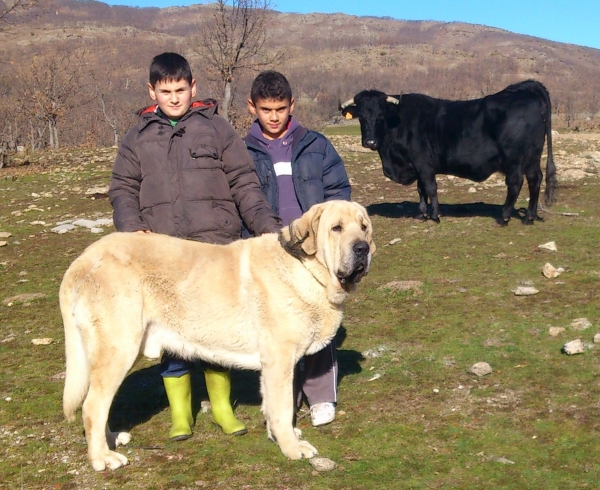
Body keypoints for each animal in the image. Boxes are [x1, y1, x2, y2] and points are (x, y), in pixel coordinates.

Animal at [62, 200, 376, 470]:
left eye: (363, 227)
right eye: (336, 228)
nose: (362, 248)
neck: (307, 268)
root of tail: (81, 260)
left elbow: (271, 406)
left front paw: (278, 436)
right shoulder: (279, 360)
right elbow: (283, 407)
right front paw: (292, 447)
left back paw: (112, 439)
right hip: (120, 347)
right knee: (92, 406)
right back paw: (102, 457)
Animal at [340, 80, 560, 226]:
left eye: (381, 115)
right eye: (361, 117)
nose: (370, 141)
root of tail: (526, 89)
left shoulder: (423, 164)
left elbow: (430, 188)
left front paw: (435, 215)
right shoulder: (418, 167)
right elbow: (421, 189)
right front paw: (422, 214)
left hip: (514, 158)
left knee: (515, 182)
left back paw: (504, 216)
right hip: (532, 157)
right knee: (535, 179)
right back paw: (529, 216)